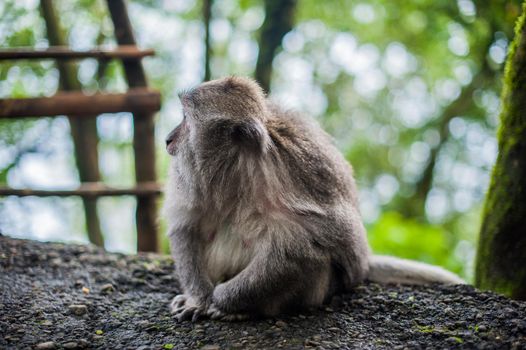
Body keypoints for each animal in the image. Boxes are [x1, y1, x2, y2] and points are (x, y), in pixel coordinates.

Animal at [163, 76, 464, 322]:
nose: (167, 139)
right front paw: (198, 298)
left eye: (186, 119)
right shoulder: (194, 185)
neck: (237, 174)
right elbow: (186, 227)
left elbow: (301, 253)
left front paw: (223, 301)